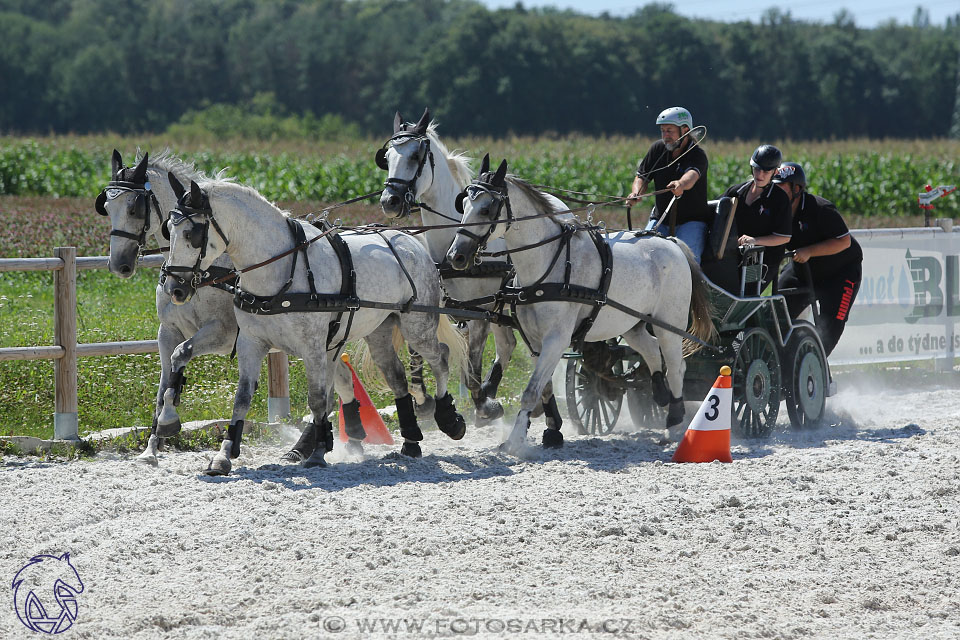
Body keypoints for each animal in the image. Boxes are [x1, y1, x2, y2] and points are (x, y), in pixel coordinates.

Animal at [161, 175, 468, 476]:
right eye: (168, 230)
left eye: (191, 234)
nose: (174, 288)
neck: (281, 268)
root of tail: (411, 241)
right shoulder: (251, 342)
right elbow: (242, 398)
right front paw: (223, 454)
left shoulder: (313, 348)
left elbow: (318, 399)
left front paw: (319, 452)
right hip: (378, 331)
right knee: (396, 376)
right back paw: (410, 442)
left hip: (417, 326)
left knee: (440, 358)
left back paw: (449, 420)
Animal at [376, 107, 568, 422]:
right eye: (387, 156)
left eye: (416, 156)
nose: (390, 201)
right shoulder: (438, 305)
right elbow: (420, 348)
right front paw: (423, 398)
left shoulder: (481, 309)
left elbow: (473, 360)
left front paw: (483, 403)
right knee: (509, 344)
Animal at [444, 158, 712, 452]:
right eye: (463, 205)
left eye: (487, 208)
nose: (456, 256)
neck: (549, 263)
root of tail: (670, 242)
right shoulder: (535, 340)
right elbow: (543, 387)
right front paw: (547, 432)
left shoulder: (556, 339)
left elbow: (530, 392)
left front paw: (515, 442)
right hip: (631, 323)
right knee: (652, 351)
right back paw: (660, 395)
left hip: (669, 323)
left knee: (676, 366)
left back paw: (674, 422)